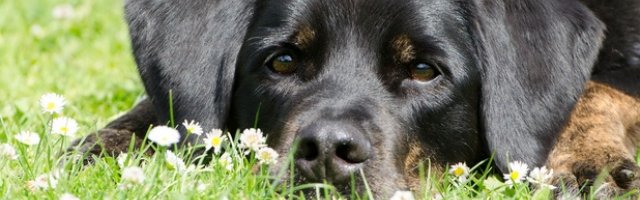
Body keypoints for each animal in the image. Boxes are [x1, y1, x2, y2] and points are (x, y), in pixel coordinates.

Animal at [70, 0, 640, 197]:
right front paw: (111, 143)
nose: (327, 152)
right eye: (282, 61)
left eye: (423, 70)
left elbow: (596, 87)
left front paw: (588, 163)